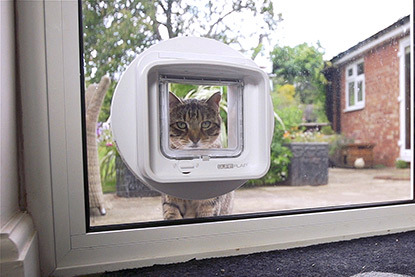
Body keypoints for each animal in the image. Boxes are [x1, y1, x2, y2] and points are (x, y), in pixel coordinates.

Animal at [162, 91, 234, 219]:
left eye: (206, 124)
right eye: (181, 124)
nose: (195, 139)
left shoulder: (210, 203)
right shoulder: (170, 202)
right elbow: (172, 214)